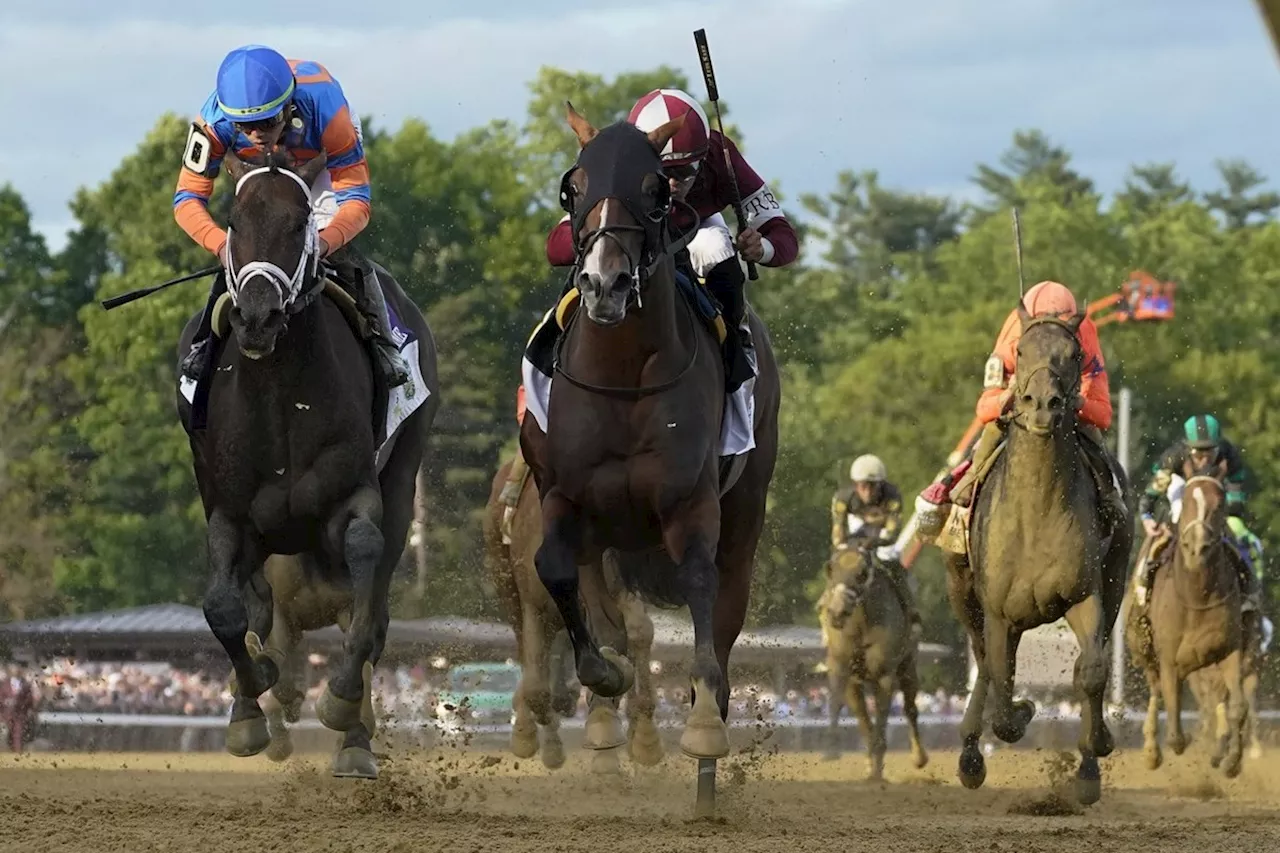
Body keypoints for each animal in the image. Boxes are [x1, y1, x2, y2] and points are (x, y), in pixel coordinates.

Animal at [478, 458, 660, 768]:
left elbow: (637, 631)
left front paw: (643, 739)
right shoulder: (534, 602)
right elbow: (537, 688)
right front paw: (548, 747)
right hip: (506, 582)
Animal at [517, 106, 778, 819]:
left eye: (656, 189)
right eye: (573, 188)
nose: (604, 283)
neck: (624, 374)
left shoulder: (689, 502)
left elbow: (698, 583)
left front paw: (705, 726)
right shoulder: (565, 495)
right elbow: (555, 572)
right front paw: (606, 675)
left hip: (744, 511)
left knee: (726, 603)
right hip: (608, 534)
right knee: (598, 598)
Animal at [819, 545, 931, 778]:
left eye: (862, 574)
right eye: (831, 570)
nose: (836, 613)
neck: (861, 627)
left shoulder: (885, 674)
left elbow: (881, 714)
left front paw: (877, 768)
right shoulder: (842, 667)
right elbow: (842, 704)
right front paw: (832, 749)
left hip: (909, 666)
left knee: (910, 708)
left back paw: (919, 756)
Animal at [947, 300, 1136, 804]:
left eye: (1074, 354)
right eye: (1019, 350)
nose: (1042, 404)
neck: (1036, 509)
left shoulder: (1085, 595)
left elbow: (1091, 672)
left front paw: (1094, 753)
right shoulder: (997, 611)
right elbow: (1001, 694)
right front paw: (1024, 709)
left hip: (1115, 581)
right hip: (964, 594)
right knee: (986, 665)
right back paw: (970, 756)